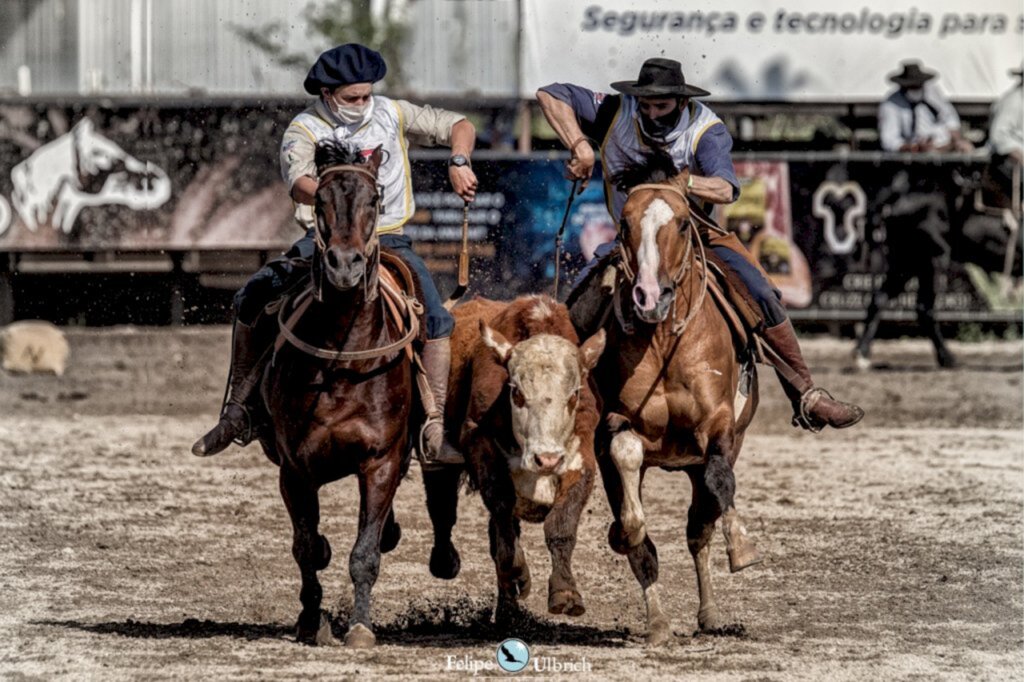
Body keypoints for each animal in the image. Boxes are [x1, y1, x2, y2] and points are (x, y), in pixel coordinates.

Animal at [260, 142, 415, 643]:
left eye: (374, 199)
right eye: (320, 201)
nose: (345, 265)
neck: (344, 362)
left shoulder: (381, 461)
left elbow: (364, 553)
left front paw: (361, 627)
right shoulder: (295, 469)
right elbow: (307, 546)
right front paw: (311, 620)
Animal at [581, 159, 765, 643]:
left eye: (683, 223)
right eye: (624, 224)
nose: (649, 296)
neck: (664, 340)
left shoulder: (719, 424)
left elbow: (719, 485)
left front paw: (742, 547)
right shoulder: (614, 429)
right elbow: (634, 516)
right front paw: (623, 533)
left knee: (701, 523)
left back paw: (710, 614)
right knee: (650, 543)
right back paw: (659, 623)